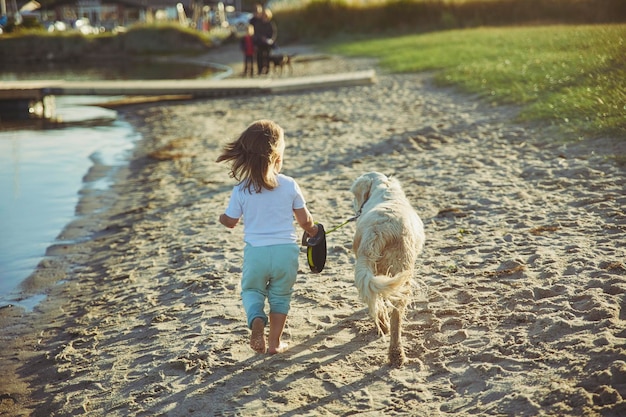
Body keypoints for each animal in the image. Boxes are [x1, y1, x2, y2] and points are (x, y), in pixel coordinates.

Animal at [348, 171, 422, 366]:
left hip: (371, 266)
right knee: (395, 314)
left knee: (375, 297)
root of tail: (377, 230)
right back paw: (396, 351)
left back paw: (385, 332)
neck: (384, 188)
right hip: (401, 269)